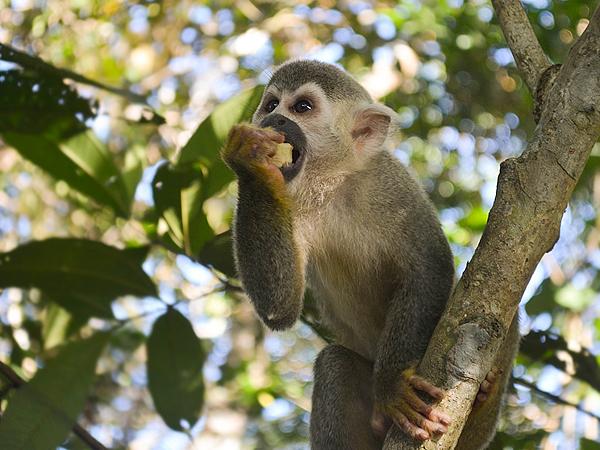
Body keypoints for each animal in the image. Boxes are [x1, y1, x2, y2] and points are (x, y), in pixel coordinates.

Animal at [221, 60, 520, 450]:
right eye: (271, 105)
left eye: (301, 107)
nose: (275, 120)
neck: (330, 182)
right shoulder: (287, 199)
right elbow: (279, 307)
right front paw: (249, 162)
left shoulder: (390, 183)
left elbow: (430, 267)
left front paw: (392, 385)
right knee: (334, 363)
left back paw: (484, 398)